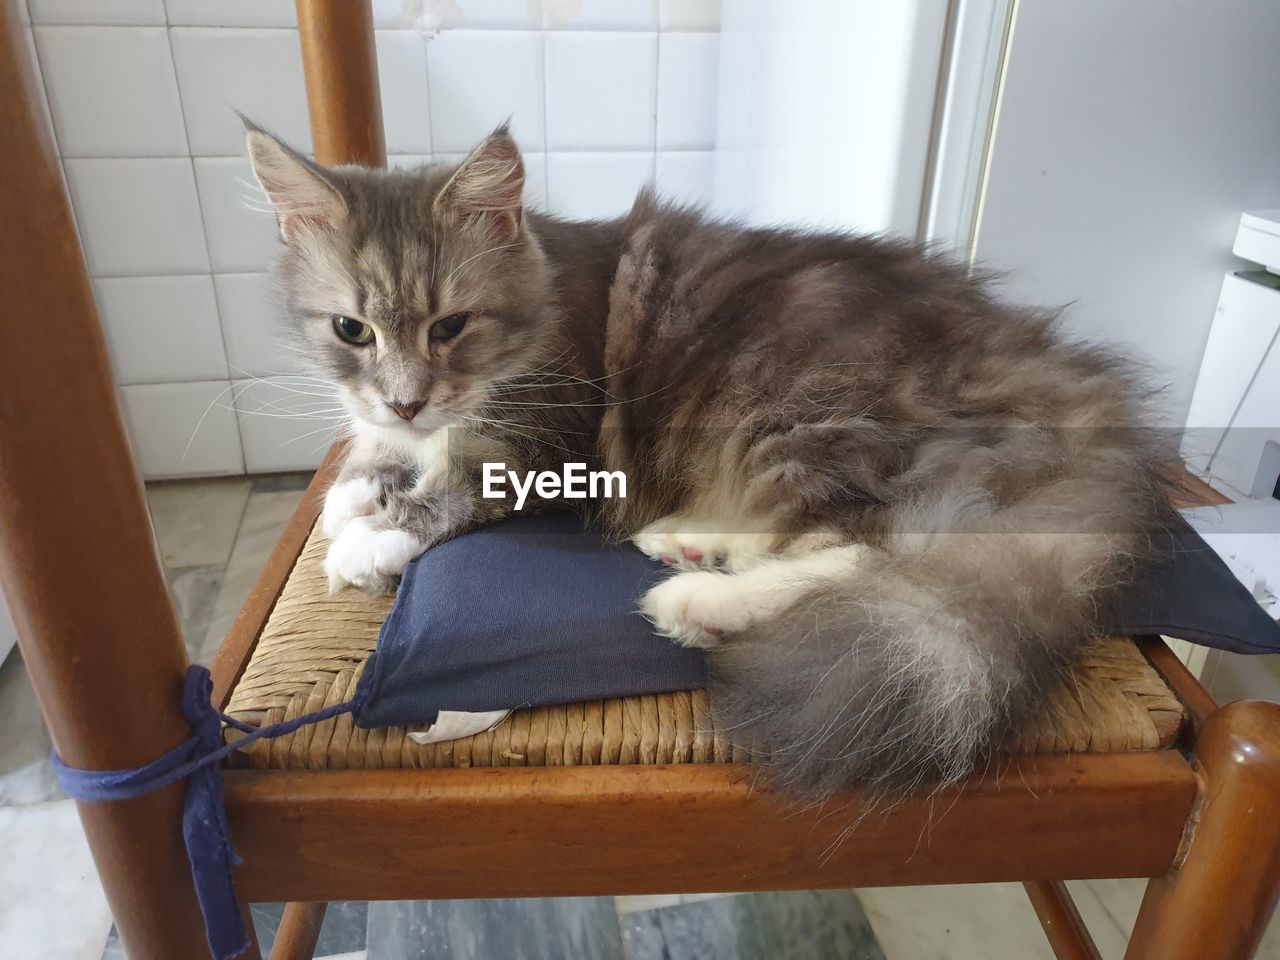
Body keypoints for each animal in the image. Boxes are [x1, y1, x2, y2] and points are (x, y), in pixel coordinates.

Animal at [244, 120, 1172, 798]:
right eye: (352, 330)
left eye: (451, 327)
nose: (408, 398)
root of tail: (1068, 386)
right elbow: (365, 453)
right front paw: (354, 493)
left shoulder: (546, 445)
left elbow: (444, 492)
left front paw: (370, 539)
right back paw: (688, 542)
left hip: (799, 418)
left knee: (873, 549)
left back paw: (697, 600)